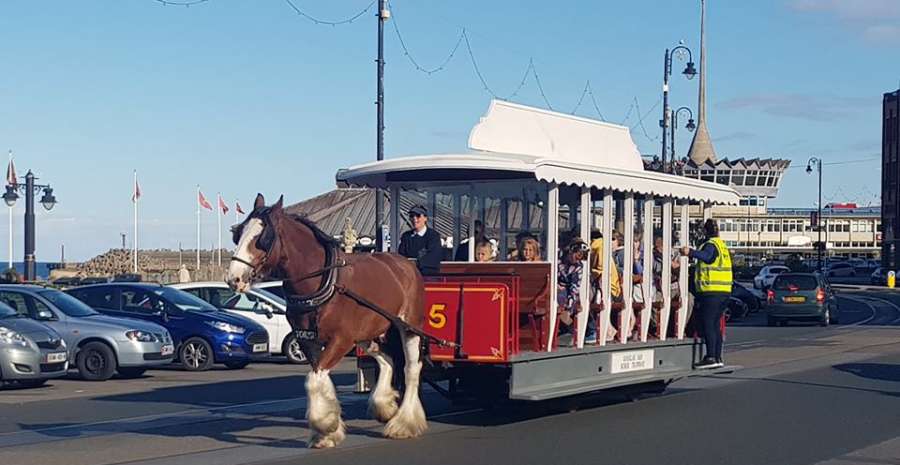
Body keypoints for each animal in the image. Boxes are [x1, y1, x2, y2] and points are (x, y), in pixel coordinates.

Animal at [230, 194, 430, 448]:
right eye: (238, 233)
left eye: (262, 238)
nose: (234, 278)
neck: (324, 282)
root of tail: (405, 263)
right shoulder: (308, 340)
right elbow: (318, 376)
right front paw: (326, 430)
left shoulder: (341, 339)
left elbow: (314, 379)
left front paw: (325, 425)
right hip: (368, 332)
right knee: (387, 358)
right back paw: (384, 405)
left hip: (409, 326)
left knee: (412, 368)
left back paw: (405, 423)